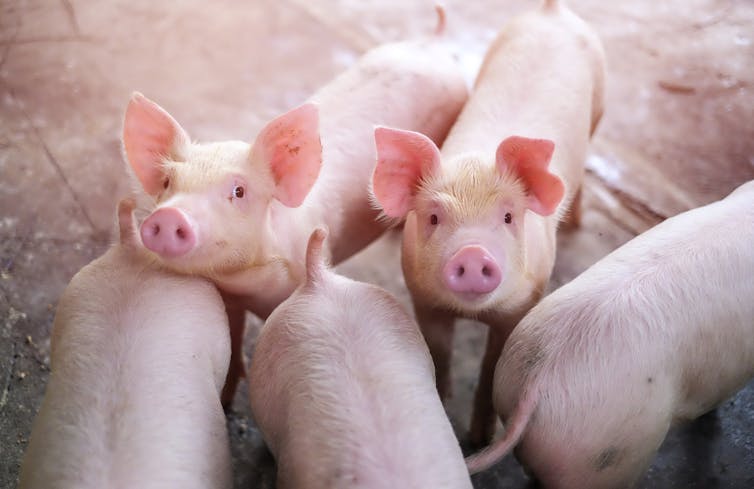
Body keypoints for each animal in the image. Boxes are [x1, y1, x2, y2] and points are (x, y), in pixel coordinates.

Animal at [122, 7, 468, 406]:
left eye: (239, 191)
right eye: (167, 183)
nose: (169, 215)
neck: (249, 283)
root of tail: (433, 40)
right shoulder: (230, 295)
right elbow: (233, 339)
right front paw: (226, 400)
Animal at [369, 0, 606, 444]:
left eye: (509, 216)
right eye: (433, 216)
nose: (473, 252)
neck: (472, 313)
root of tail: (551, 11)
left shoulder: (523, 302)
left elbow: (491, 366)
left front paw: (478, 438)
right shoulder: (424, 298)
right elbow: (439, 353)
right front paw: (444, 402)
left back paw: (577, 223)